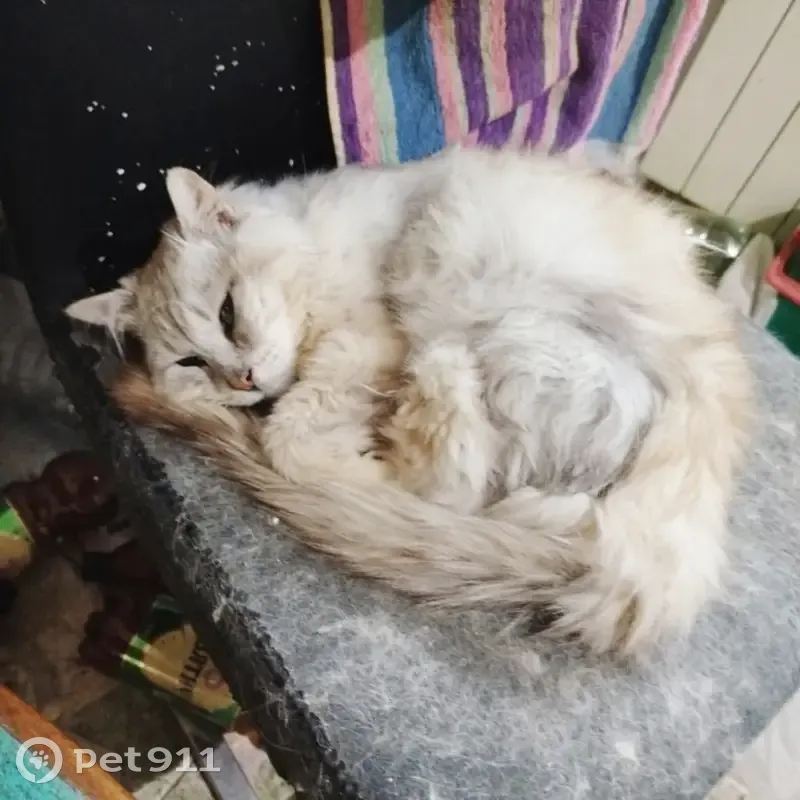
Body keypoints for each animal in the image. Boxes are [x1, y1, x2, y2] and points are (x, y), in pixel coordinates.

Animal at [66, 147, 752, 654]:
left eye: (228, 314)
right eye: (190, 364)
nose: (241, 382)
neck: (311, 237)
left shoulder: (369, 342)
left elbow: (290, 437)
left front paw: (341, 453)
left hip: (481, 328)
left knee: (455, 482)